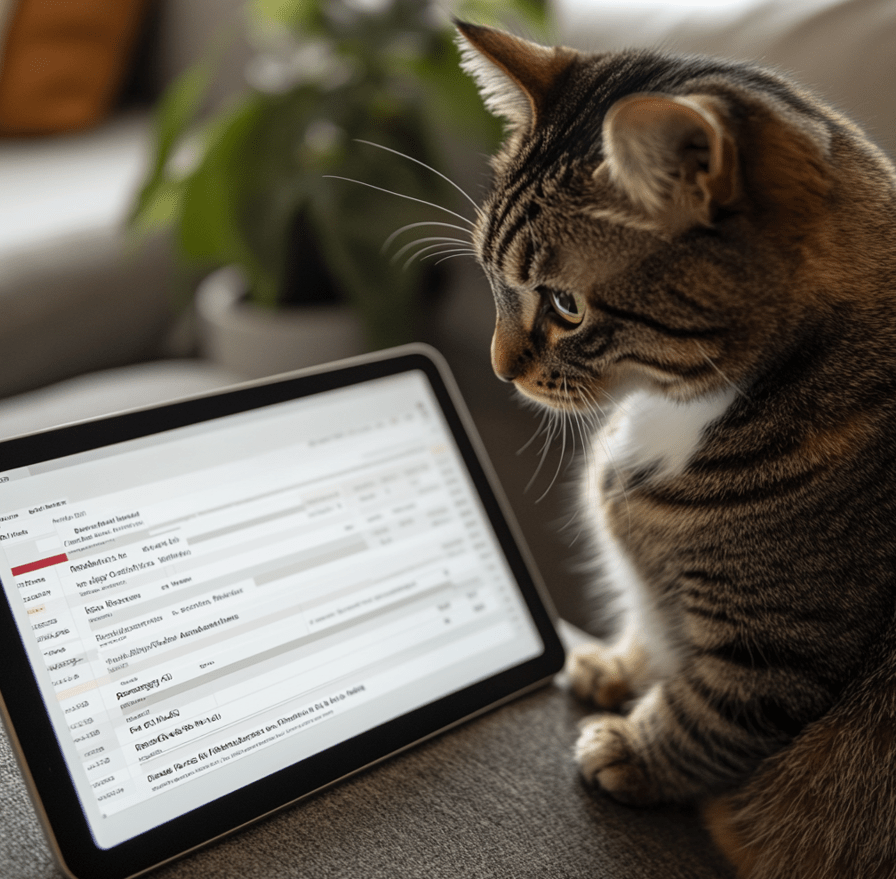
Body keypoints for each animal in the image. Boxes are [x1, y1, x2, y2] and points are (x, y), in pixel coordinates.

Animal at [456, 17, 896, 876]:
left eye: (565, 306)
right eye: (489, 276)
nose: (495, 367)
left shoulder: (773, 647)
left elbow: (708, 714)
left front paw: (631, 750)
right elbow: (648, 623)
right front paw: (614, 665)